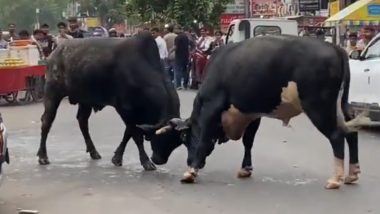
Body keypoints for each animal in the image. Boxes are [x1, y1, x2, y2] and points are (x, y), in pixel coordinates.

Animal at [37, 33, 181, 171]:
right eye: (162, 138)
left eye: (176, 142)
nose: (159, 160)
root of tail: (56, 50)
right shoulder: (125, 110)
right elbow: (136, 136)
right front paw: (146, 162)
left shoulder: (135, 115)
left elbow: (127, 134)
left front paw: (117, 157)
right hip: (52, 94)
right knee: (46, 122)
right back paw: (43, 156)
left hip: (85, 101)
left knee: (82, 121)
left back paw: (93, 151)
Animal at [141, 36, 370, 190]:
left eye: (184, 138)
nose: (157, 158)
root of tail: (335, 47)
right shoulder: (252, 114)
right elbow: (248, 141)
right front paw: (246, 168)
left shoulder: (212, 106)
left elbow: (205, 137)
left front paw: (191, 171)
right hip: (342, 105)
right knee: (352, 132)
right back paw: (352, 174)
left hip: (319, 106)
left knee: (337, 135)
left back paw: (335, 179)